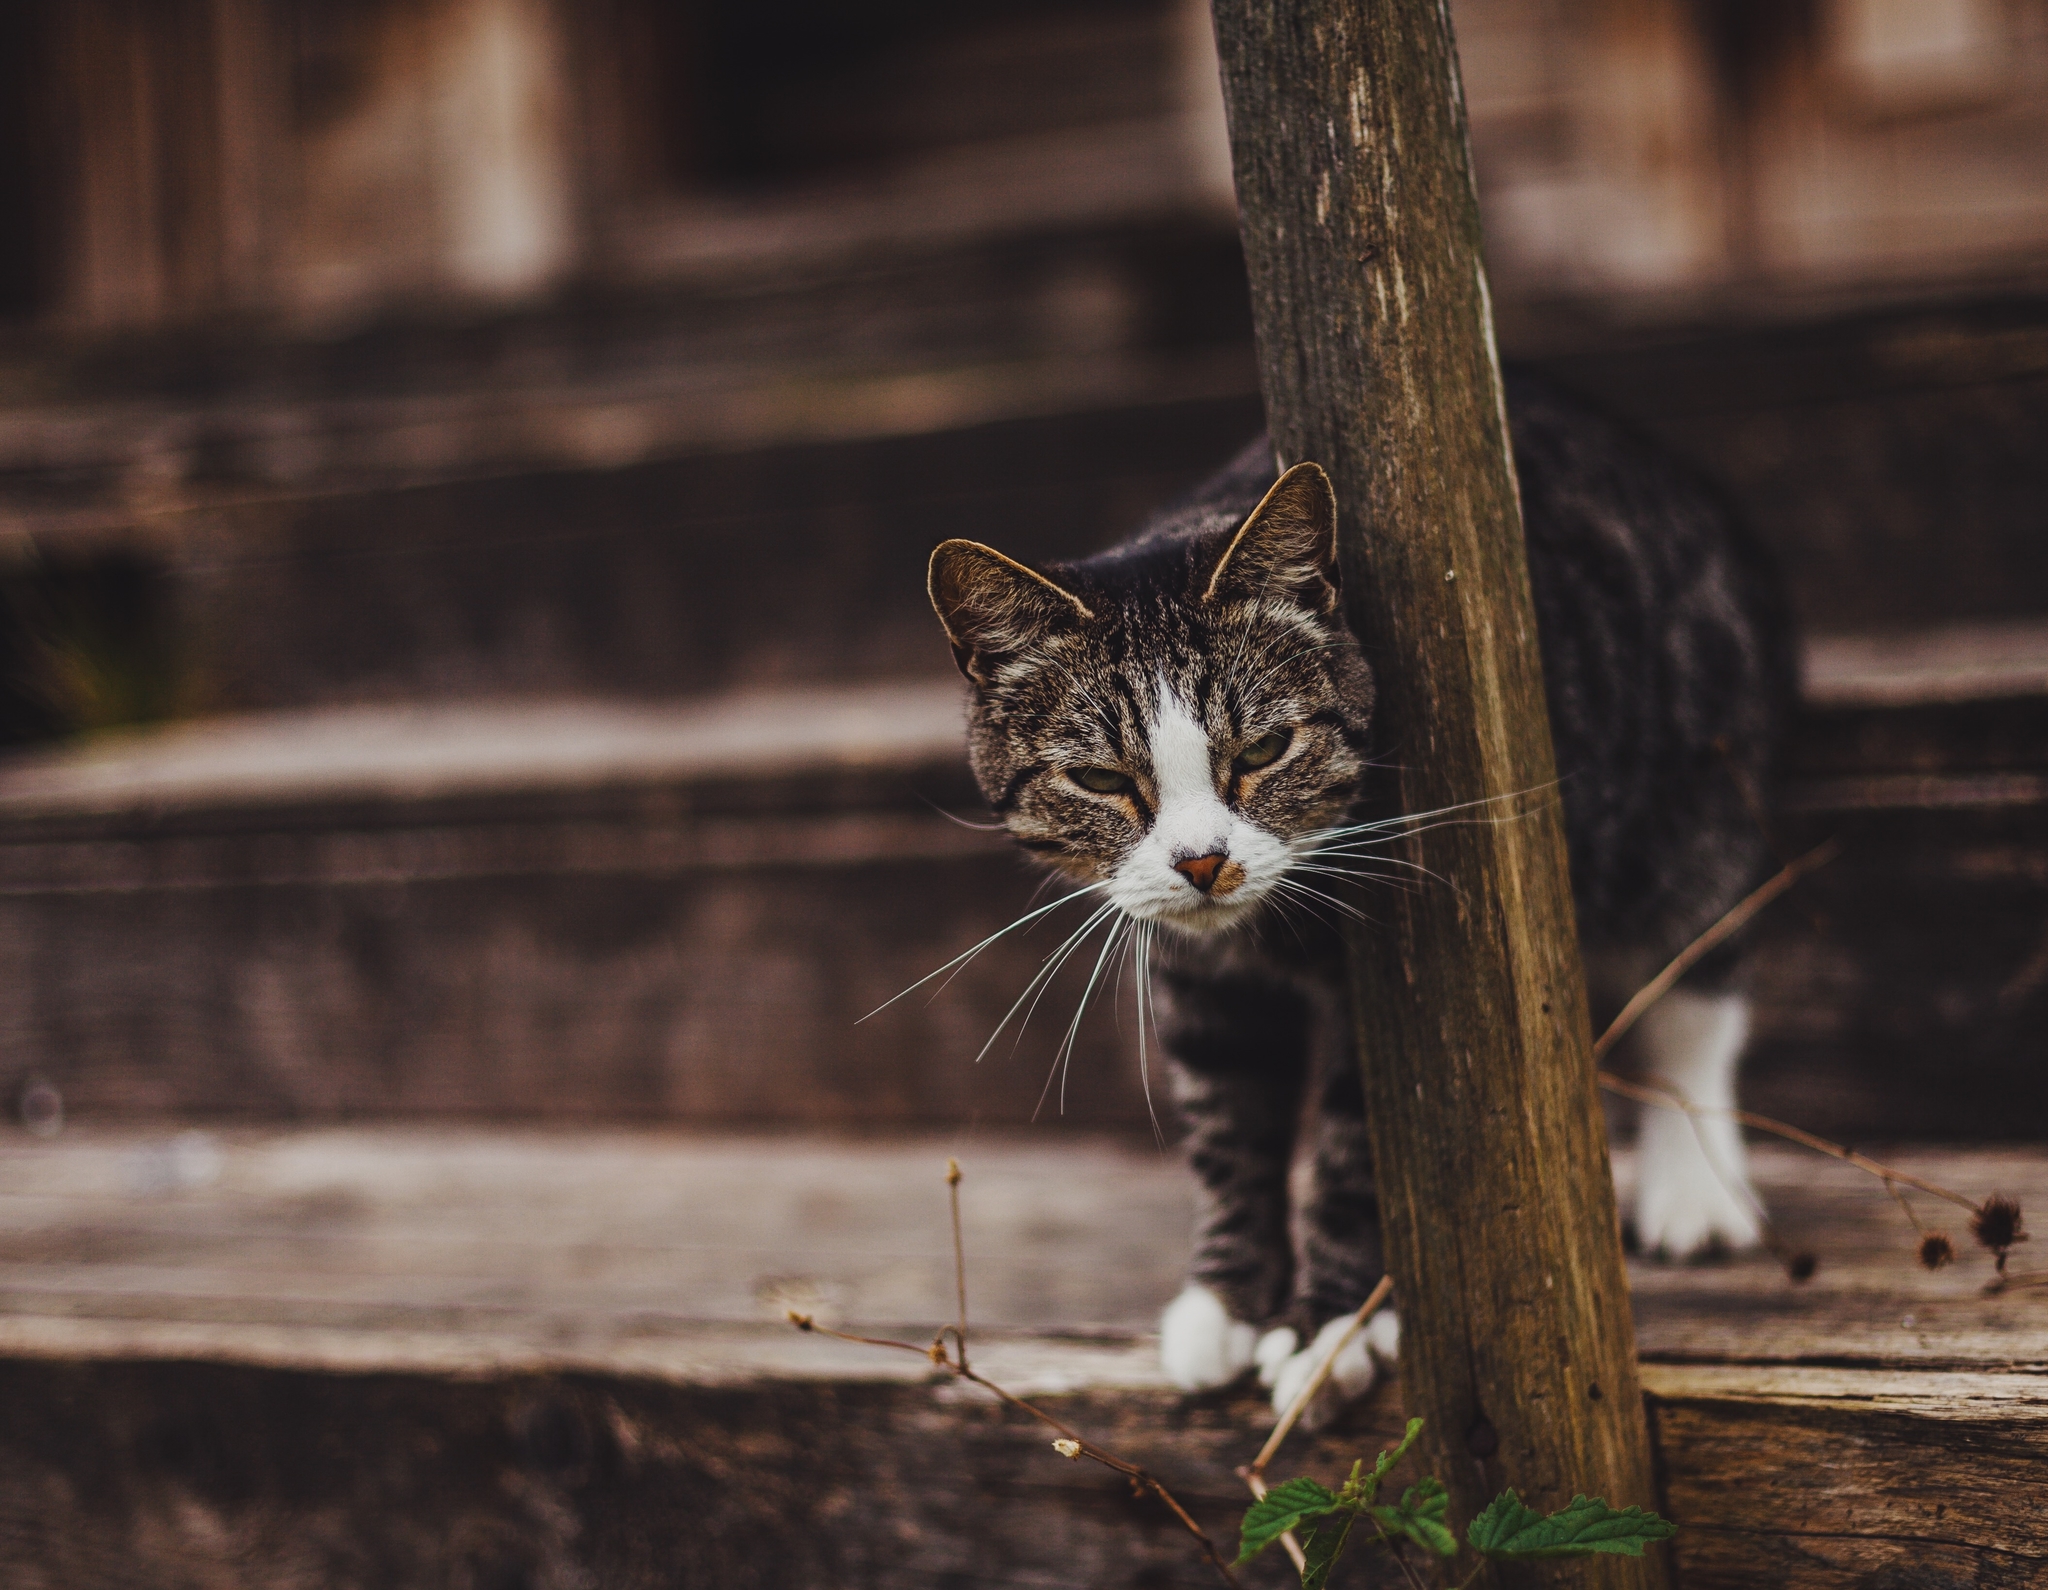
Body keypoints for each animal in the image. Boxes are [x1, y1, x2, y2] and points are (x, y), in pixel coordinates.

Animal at [929, 372, 1794, 1417]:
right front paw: (1228, 1300)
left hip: (1698, 792)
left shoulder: (1393, 977)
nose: (1202, 862)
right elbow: (1228, 1123)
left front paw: (1329, 1329)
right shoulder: (1200, 978)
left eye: (1266, 748)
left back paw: (1695, 1186)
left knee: (1697, 981)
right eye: (1099, 779)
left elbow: (1358, 1143)